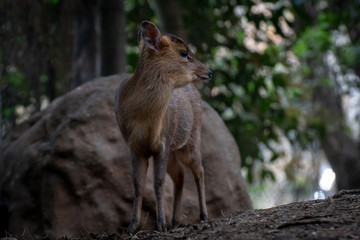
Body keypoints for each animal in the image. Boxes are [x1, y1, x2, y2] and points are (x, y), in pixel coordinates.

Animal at [114, 21, 211, 232]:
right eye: (184, 53)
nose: (209, 72)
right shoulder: (134, 146)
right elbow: (138, 185)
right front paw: (132, 227)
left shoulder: (163, 142)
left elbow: (158, 183)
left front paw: (161, 224)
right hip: (176, 149)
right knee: (181, 175)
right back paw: (175, 221)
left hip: (192, 138)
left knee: (199, 171)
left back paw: (203, 216)